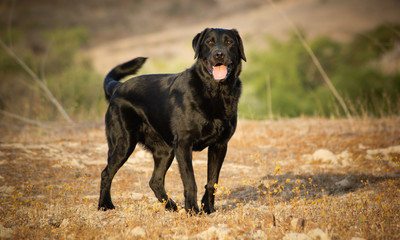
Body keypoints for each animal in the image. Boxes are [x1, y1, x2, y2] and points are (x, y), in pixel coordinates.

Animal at [98, 28, 245, 214]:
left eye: (229, 42)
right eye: (209, 42)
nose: (219, 54)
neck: (215, 91)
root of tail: (118, 86)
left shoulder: (220, 145)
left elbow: (212, 182)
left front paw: (208, 209)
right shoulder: (183, 144)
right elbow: (190, 181)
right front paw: (193, 210)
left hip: (165, 150)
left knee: (155, 181)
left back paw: (171, 206)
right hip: (123, 143)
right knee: (106, 173)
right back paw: (105, 205)